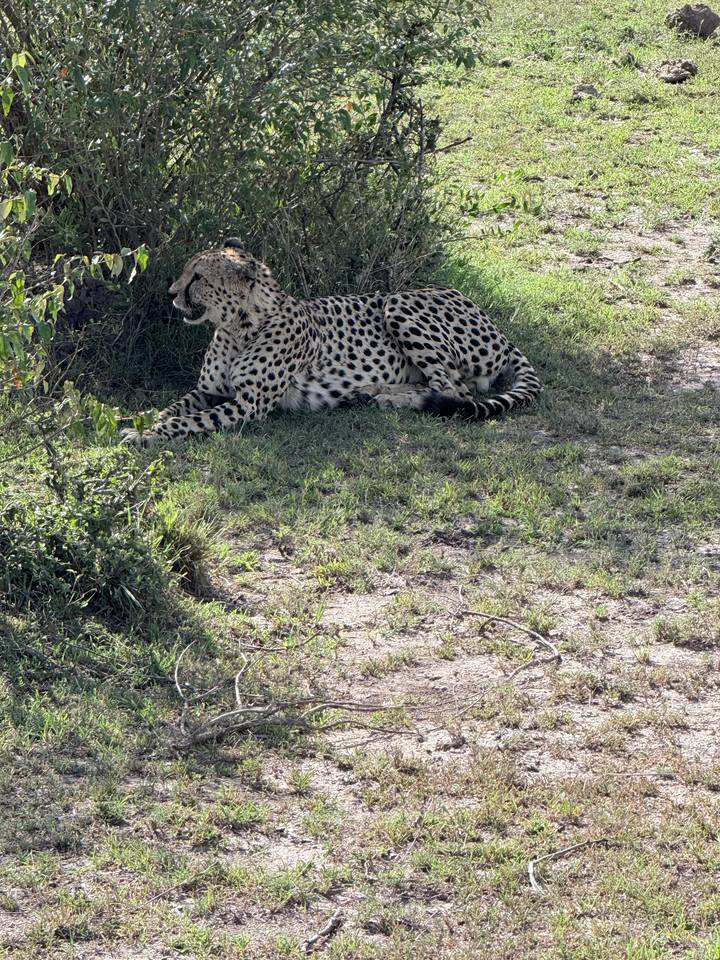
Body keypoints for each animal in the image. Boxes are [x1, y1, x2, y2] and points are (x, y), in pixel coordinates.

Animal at [120, 238, 541, 446]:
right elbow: (174, 408)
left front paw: (145, 434)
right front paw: (140, 419)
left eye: (198, 278)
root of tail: (497, 326)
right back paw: (373, 393)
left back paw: (385, 397)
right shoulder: (208, 391)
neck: (239, 327)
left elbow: (189, 421)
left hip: (396, 301)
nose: (171, 293)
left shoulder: (249, 405)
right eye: (187, 273)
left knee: (454, 391)